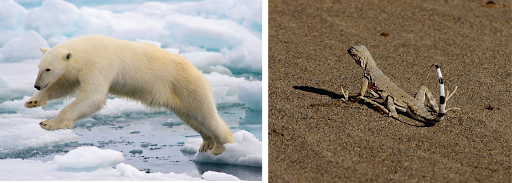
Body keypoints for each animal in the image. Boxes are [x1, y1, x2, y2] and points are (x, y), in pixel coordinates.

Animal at [23, 34, 233, 154]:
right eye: (39, 67)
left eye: (48, 69)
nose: (37, 85)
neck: (87, 50)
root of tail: (196, 70)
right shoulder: (77, 70)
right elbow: (63, 85)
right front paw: (32, 101)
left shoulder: (100, 64)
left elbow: (93, 96)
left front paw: (48, 123)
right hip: (177, 96)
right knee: (191, 117)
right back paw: (207, 142)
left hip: (187, 85)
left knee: (205, 114)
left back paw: (222, 146)